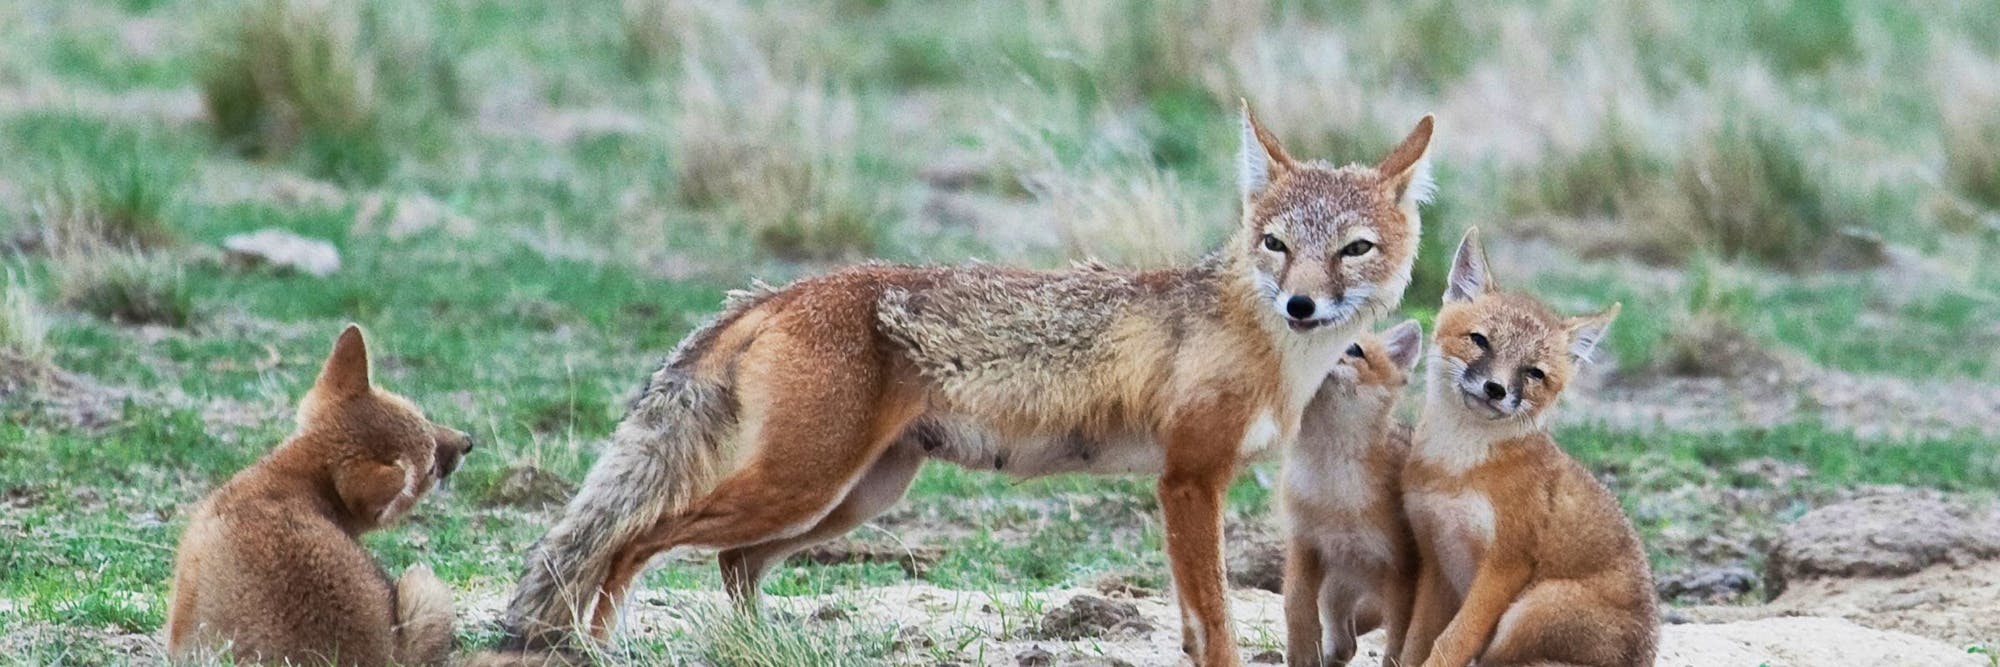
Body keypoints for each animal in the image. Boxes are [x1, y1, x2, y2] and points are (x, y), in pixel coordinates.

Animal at [1282, 319, 1423, 667]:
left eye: (1354, 348)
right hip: (1338, 587)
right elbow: (1295, 601)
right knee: (1346, 641)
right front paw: (1302, 651)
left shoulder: (1401, 570)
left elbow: (1398, 645)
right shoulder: (1304, 543)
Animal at [1396, 229, 1658, 667]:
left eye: (1533, 373)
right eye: (1480, 341)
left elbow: (1452, 641)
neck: (1458, 469)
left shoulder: (1505, 564)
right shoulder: (1437, 561)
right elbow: (1413, 644)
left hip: (1531, 607)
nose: (1496, 389)